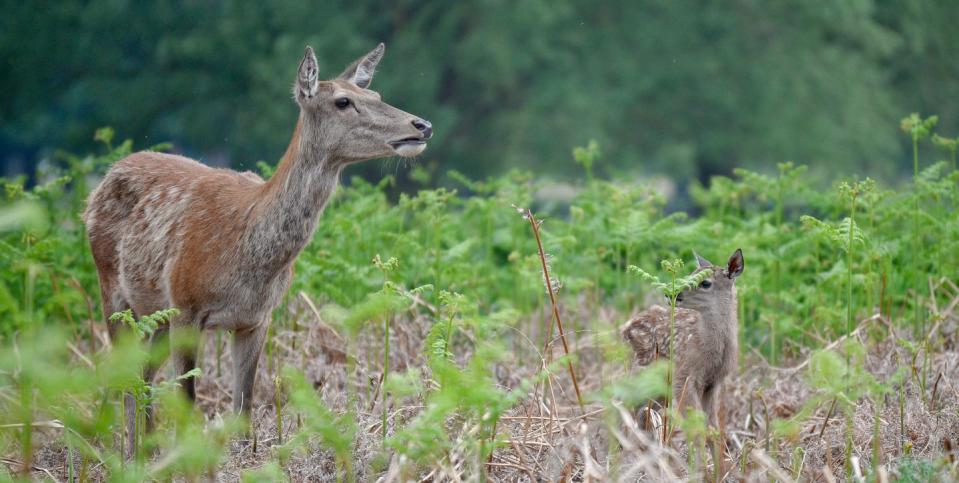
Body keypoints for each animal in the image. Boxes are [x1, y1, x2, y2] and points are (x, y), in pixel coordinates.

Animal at [85, 44, 432, 442]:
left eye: (375, 94)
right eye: (343, 101)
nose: (421, 126)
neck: (248, 254)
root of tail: (101, 181)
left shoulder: (256, 318)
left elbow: (244, 408)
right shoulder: (185, 305)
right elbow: (187, 406)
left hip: (154, 314)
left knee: (142, 378)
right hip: (112, 289)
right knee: (126, 379)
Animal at [620, 250, 748, 432]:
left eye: (705, 283)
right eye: (691, 274)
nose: (671, 294)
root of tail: (625, 328)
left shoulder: (714, 383)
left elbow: (712, 425)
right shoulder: (683, 375)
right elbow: (696, 425)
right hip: (640, 372)